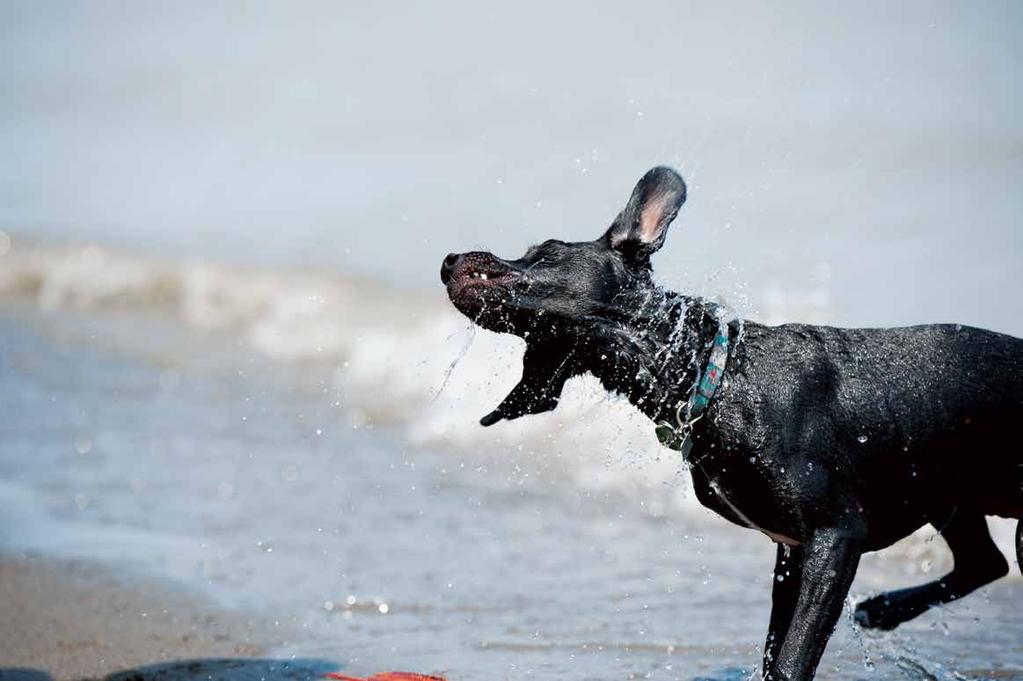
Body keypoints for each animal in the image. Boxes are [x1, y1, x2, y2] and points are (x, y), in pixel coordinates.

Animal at [439, 165, 1023, 678]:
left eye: (546, 252)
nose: (447, 260)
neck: (710, 377)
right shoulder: (793, 552)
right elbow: (773, 653)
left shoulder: (834, 537)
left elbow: (790, 659)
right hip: (951, 495)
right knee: (985, 562)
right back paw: (883, 610)